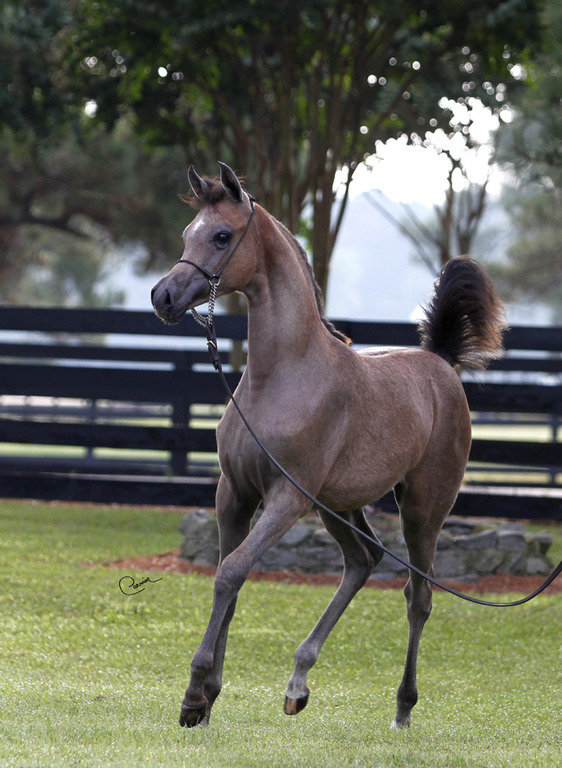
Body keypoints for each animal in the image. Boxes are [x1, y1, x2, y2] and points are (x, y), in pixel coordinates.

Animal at [151, 162, 506, 730]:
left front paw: (193, 695)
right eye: (188, 233)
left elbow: (231, 572)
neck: (282, 377)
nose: (163, 297)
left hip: (422, 508)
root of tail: (441, 364)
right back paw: (298, 683)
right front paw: (206, 699)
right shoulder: (235, 494)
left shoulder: (286, 499)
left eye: (222, 236)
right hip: (339, 505)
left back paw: (402, 708)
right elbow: (230, 580)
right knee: (363, 560)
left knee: (419, 595)